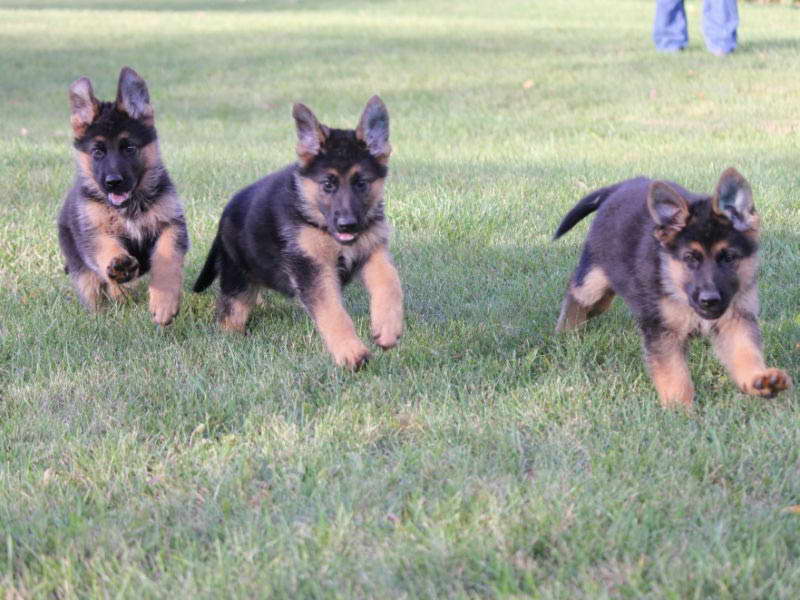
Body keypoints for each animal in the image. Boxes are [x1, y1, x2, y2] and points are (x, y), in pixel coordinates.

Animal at [57, 68, 188, 326]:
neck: (130, 209)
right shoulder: (94, 234)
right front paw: (119, 264)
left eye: (129, 148)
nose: (113, 182)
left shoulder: (171, 225)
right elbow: (107, 248)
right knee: (95, 289)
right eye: (98, 152)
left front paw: (164, 304)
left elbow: (166, 260)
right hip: (81, 269)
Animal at [193, 96, 404, 368]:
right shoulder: (311, 268)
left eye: (361, 183)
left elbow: (390, 282)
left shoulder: (372, 249)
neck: (318, 222)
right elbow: (333, 313)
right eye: (328, 184)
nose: (347, 225)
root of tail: (225, 213)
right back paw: (236, 337)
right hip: (236, 277)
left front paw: (388, 328)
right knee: (230, 315)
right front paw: (350, 351)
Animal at [556, 169, 792, 408]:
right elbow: (674, 373)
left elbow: (745, 353)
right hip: (593, 279)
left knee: (601, 300)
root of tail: (622, 186)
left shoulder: (736, 319)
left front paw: (759, 380)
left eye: (729, 258)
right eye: (690, 258)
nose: (709, 300)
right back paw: (567, 330)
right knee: (575, 290)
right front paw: (679, 408)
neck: (674, 283)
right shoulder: (662, 329)